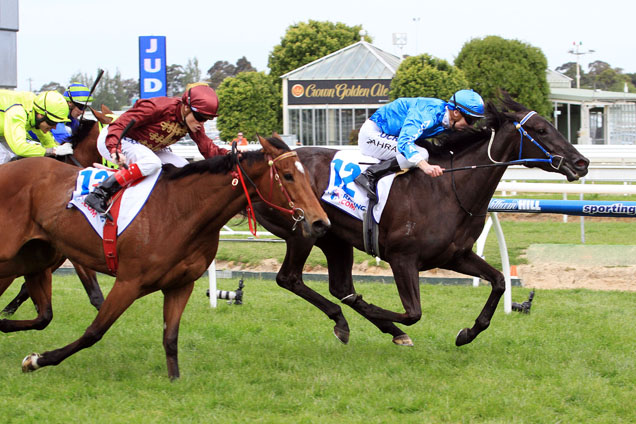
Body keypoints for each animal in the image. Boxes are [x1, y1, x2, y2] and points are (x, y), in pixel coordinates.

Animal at [3, 137, 332, 380]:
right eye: (288, 176)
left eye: (305, 176)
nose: (320, 222)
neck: (180, 211)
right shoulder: (129, 282)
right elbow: (94, 332)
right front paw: (36, 360)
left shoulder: (180, 285)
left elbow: (170, 338)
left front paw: (175, 381)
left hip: (33, 258)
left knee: (43, 314)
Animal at [251, 95, 588, 348]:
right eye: (541, 130)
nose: (581, 162)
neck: (448, 189)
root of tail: (266, 167)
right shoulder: (402, 258)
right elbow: (413, 313)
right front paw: (382, 315)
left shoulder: (456, 255)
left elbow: (500, 281)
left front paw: (467, 333)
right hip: (303, 232)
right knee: (290, 279)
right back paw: (358, 321)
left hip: (334, 239)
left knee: (340, 287)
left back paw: (358, 324)